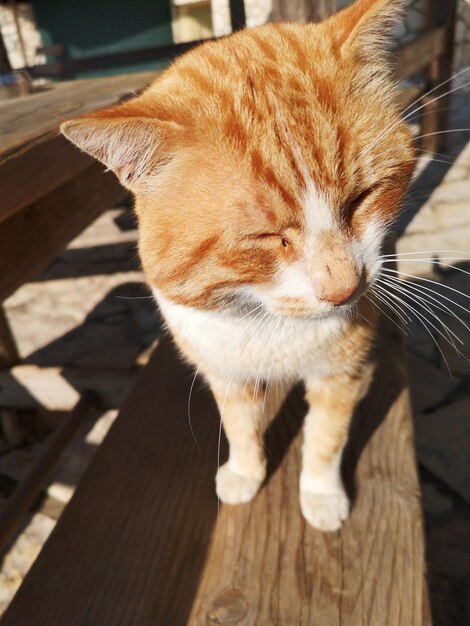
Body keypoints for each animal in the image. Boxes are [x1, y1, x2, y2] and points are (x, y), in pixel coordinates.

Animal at [59, 0, 414, 528]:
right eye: (267, 237)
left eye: (360, 200)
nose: (345, 290)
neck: (267, 320)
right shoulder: (223, 372)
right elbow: (241, 427)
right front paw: (246, 473)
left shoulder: (342, 371)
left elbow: (326, 437)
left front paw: (320, 495)